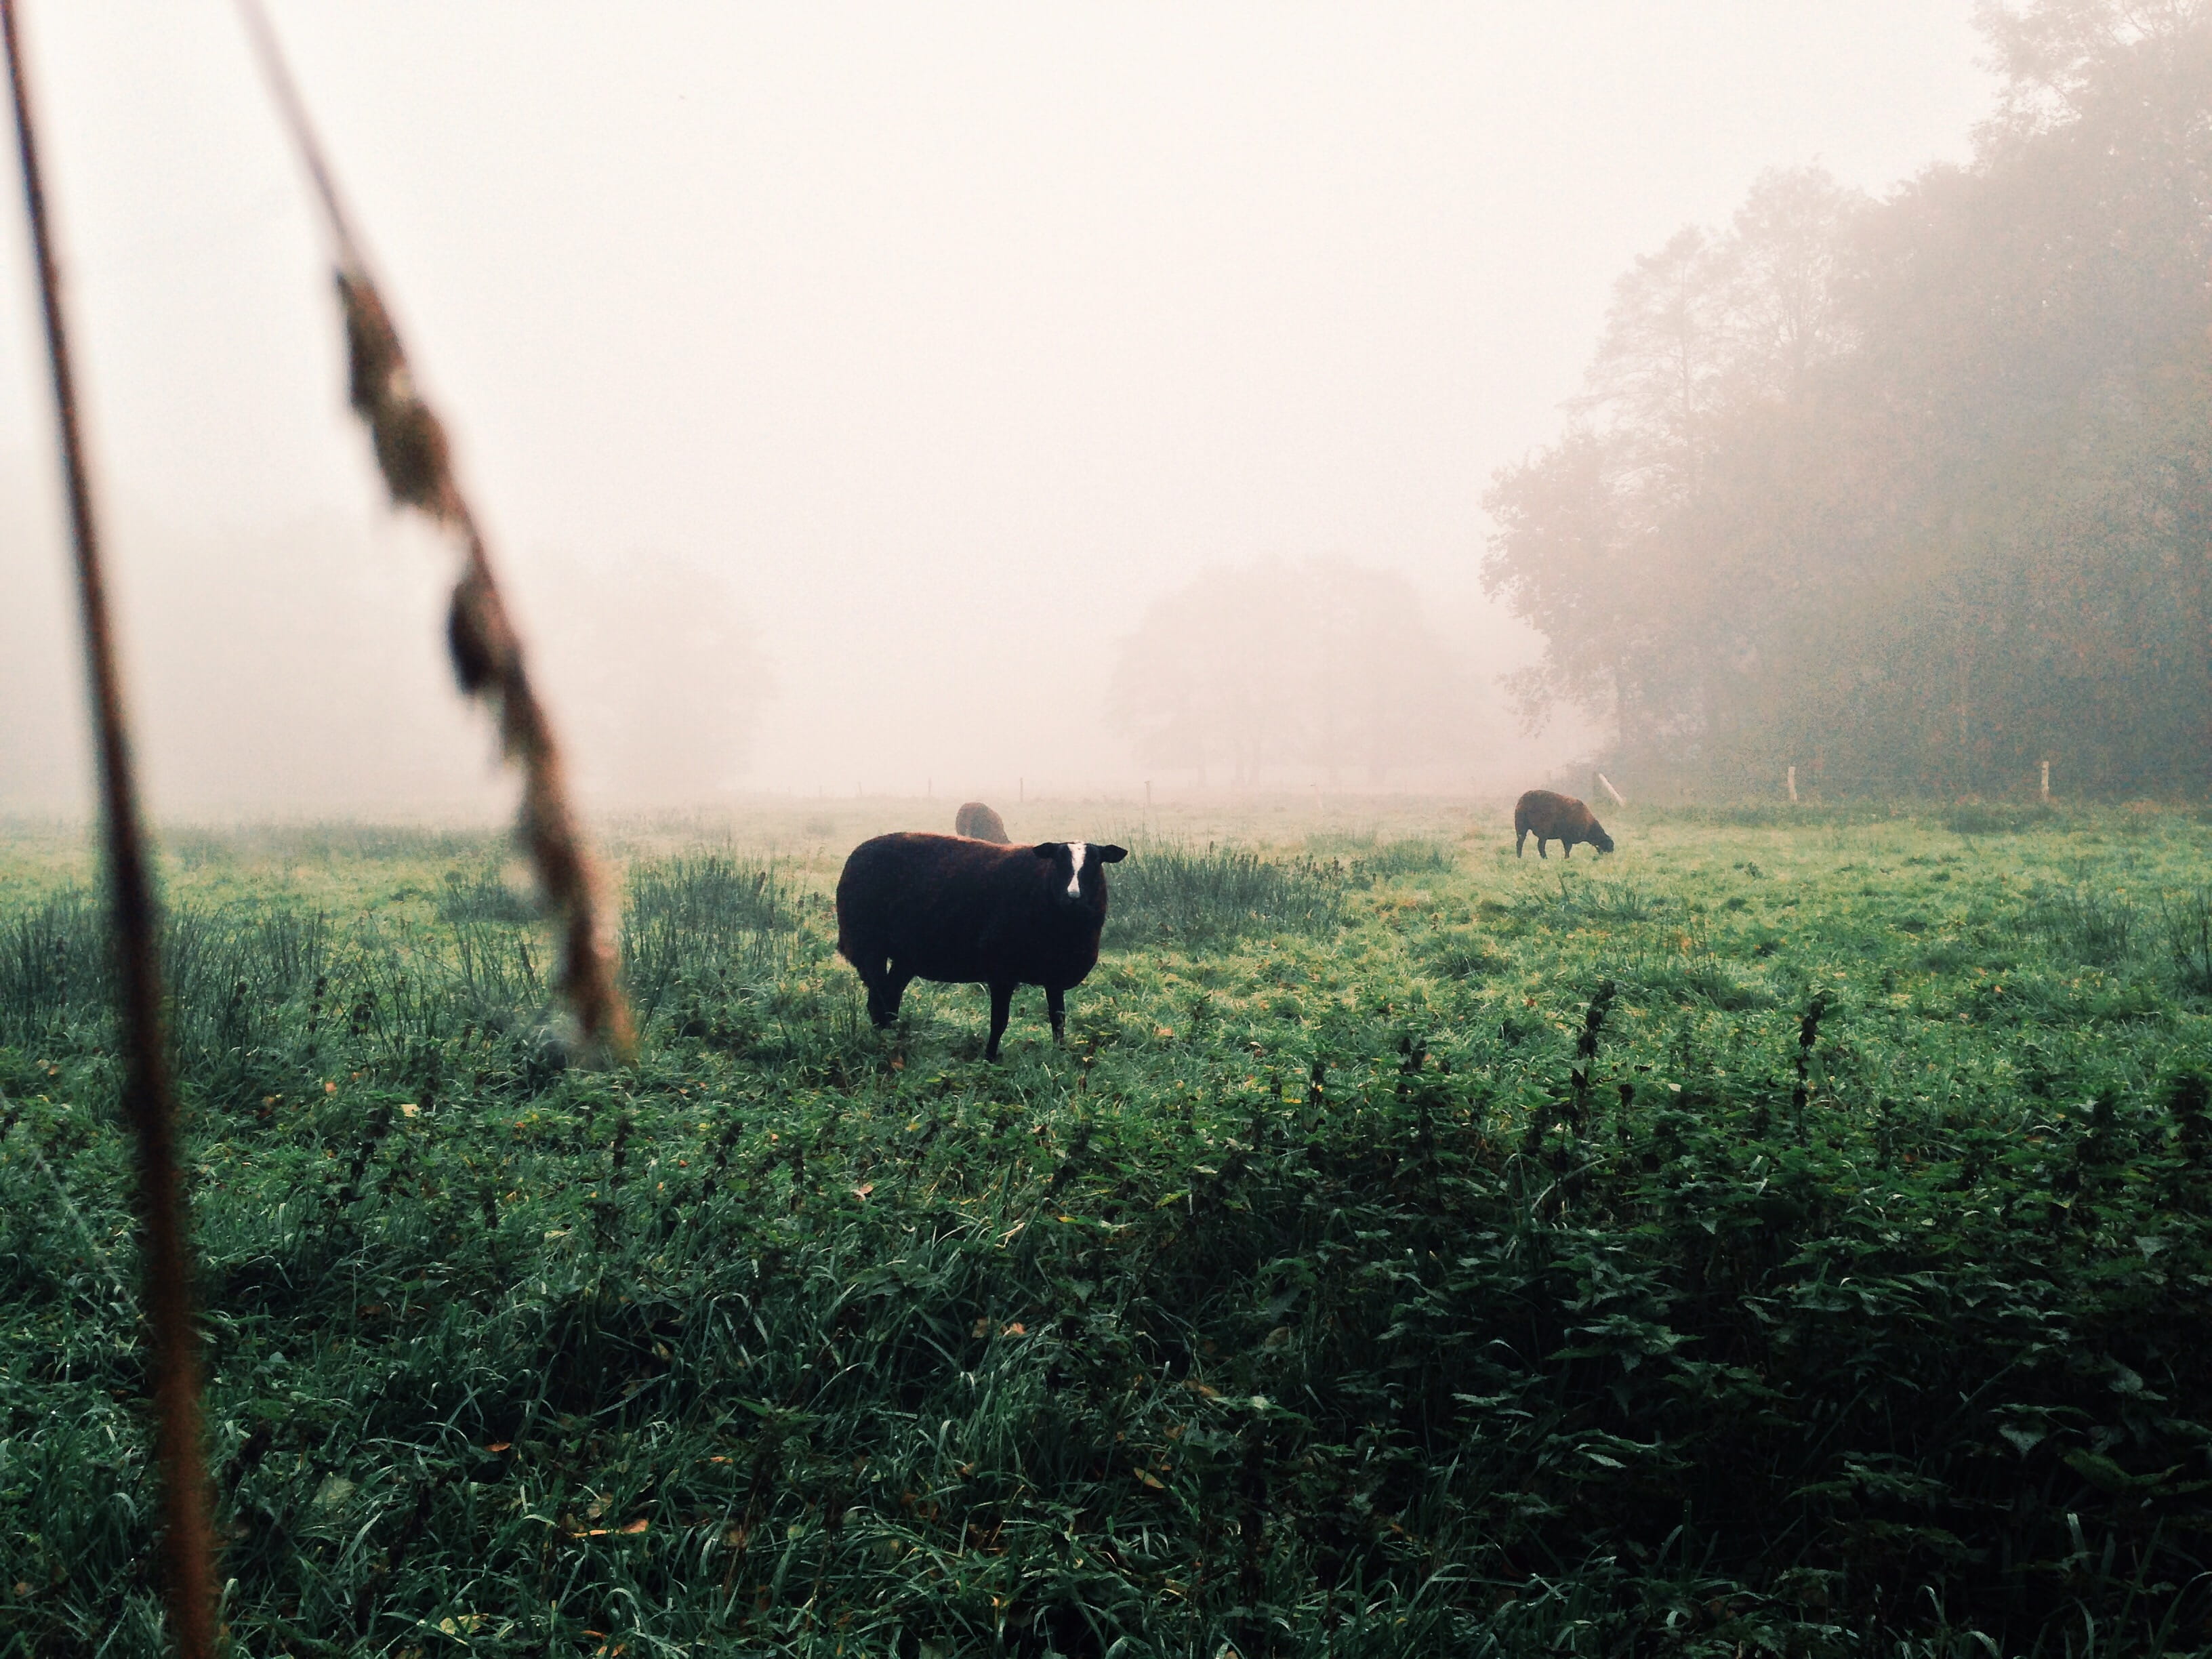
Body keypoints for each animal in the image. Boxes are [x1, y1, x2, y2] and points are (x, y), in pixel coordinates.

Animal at [836, 832, 1127, 1060]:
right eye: (1058, 863)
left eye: (1095, 864)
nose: (1073, 897)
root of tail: (857, 854)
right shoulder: (1001, 971)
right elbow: (999, 1021)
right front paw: (989, 1058)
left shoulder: (1054, 975)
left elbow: (1058, 1020)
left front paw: (1059, 1055)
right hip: (868, 945)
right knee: (878, 999)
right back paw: (883, 1042)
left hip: (906, 956)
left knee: (890, 997)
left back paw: (893, 1038)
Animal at [1514, 789, 1615, 859]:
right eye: (1609, 847)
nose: (1610, 859)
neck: (1589, 827)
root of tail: (1522, 800)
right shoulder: (1567, 837)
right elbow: (1568, 849)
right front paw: (1567, 859)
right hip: (1540, 829)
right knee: (1538, 845)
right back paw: (1544, 858)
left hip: (1522, 827)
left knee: (1521, 843)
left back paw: (1520, 857)